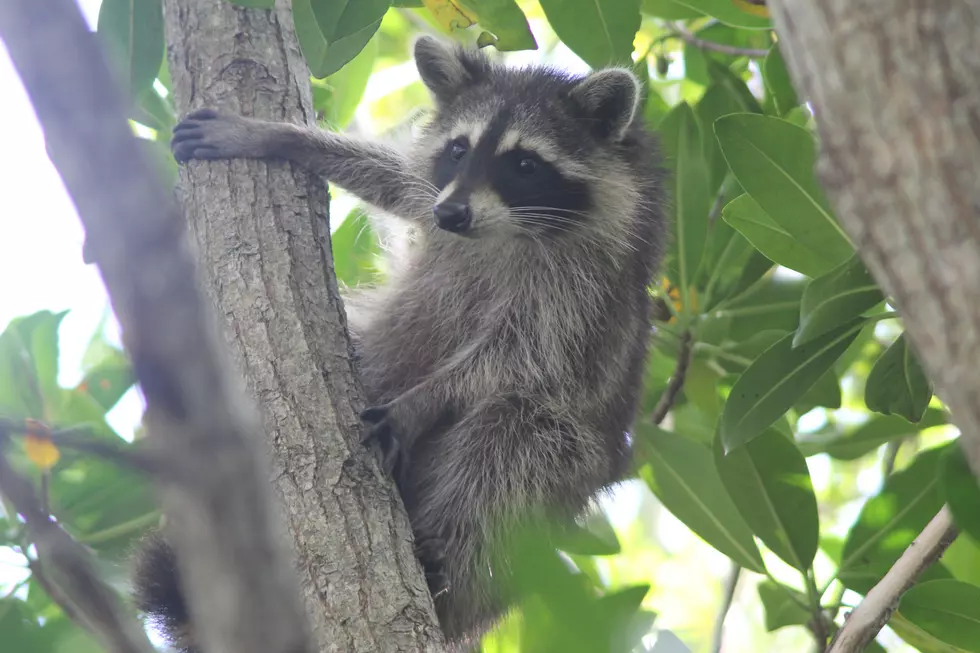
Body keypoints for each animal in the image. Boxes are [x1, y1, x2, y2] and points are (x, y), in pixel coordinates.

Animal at [136, 37, 668, 652]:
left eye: (524, 164)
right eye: (459, 150)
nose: (453, 213)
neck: (501, 232)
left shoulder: (583, 293)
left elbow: (518, 363)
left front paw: (422, 402)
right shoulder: (435, 197)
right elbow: (396, 181)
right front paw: (281, 137)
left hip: (572, 473)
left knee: (520, 437)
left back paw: (446, 561)